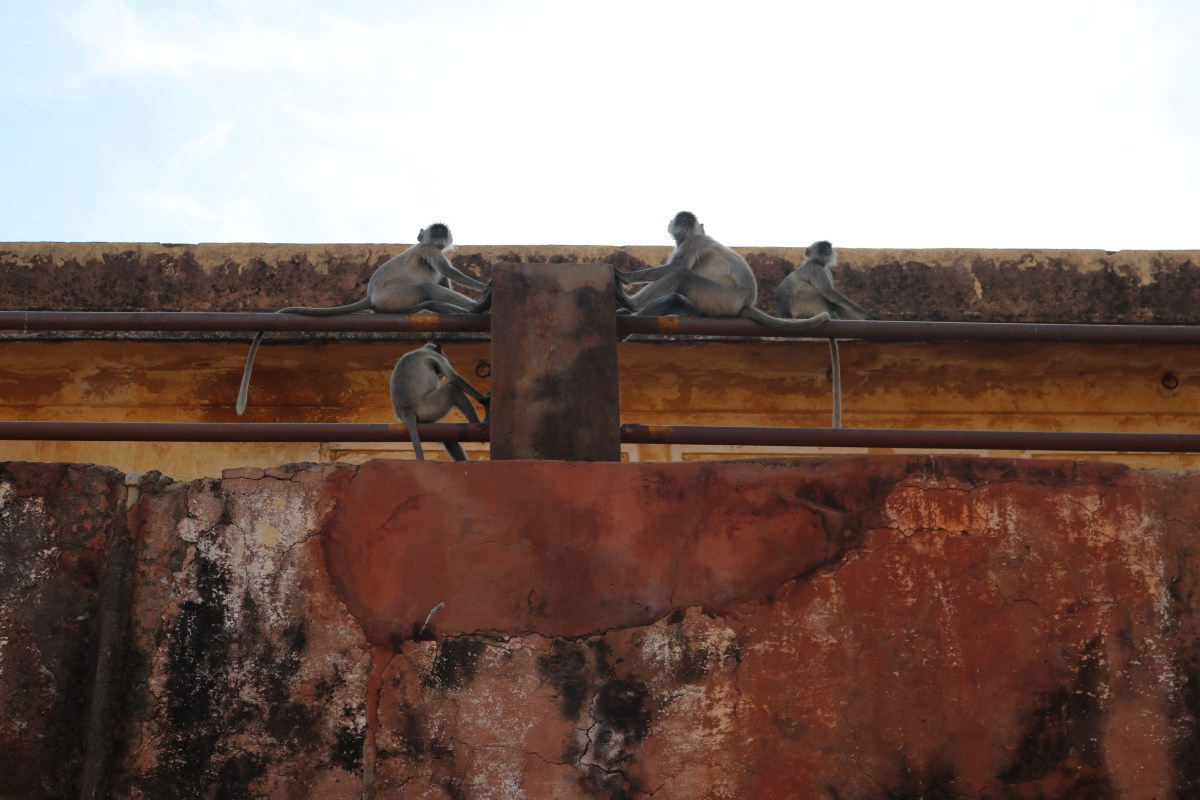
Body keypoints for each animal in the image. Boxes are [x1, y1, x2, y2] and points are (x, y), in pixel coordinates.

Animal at [236, 223, 489, 415]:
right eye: (435, 230)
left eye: (442, 230)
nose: (440, 233)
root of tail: (370, 297)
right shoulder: (429, 250)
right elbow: (448, 273)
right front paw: (484, 290)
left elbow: (445, 279)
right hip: (393, 296)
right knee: (426, 287)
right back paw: (478, 307)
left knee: (428, 296)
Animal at [614, 212, 831, 332]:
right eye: (681, 219)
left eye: (688, 221)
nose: (684, 222)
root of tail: (745, 303)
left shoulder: (694, 242)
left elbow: (675, 268)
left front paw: (625, 277)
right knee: (674, 298)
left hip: (724, 299)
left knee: (681, 275)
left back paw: (630, 303)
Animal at [773, 240, 871, 429]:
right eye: (823, 247)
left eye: (828, 247)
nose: (828, 250)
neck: (818, 262)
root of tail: (786, 314)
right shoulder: (815, 268)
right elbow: (831, 294)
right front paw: (870, 316)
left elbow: (835, 297)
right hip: (805, 305)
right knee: (819, 295)